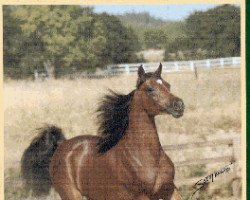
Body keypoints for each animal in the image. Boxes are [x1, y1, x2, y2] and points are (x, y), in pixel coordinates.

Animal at [21, 64, 185, 200]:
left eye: (168, 85)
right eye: (150, 89)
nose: (179, 105)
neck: (146, 157)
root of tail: (61, 145)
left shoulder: (170, 190)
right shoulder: (141, 196)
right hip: (71, 195)